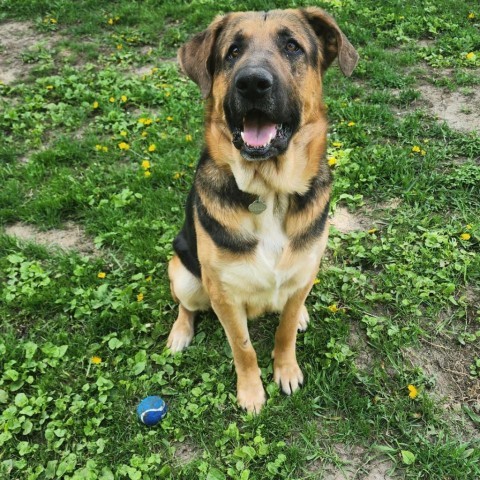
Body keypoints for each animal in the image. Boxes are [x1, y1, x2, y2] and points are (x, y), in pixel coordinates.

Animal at [167, 6, 358, 412]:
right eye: (233, 51)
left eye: (292, 46)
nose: (252, 83)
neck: (269, 192)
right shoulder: (224, 296)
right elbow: (243, 348)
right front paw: (252, 392)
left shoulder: (304, 270)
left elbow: (284, 332)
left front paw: (286, 370)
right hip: (184, 275)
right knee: (186, 307)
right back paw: (179, 333)